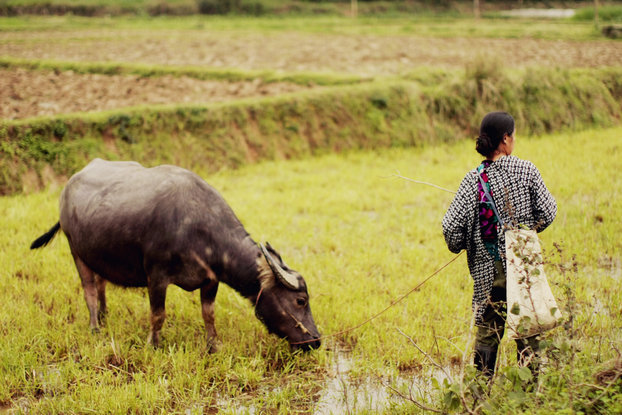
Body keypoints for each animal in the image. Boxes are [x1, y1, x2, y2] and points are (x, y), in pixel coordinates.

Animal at [30, 158, 322, 352]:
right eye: (300, 300)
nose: (316, 340)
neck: (198, 227)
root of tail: (68, 187)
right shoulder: (156, 276)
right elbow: (158, 314)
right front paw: (153, 345)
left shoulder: (211, 279)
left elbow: (209, 314)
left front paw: (213, 345)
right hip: (75, 251)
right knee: (89, 290)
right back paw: (95, 326)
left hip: (97, 253)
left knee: (101, 283)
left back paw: (103, 315)